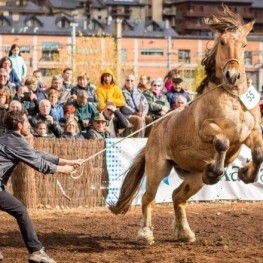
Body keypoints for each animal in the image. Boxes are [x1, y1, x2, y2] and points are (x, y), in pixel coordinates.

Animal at [109, 6, 263, 245]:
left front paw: (246, 173)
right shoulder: (207, 129)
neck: (232, 98)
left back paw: (185, 232)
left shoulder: (250, 133)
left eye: (245, 45)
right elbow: (222, 142)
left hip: (193, 178)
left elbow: (258, 154)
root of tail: (155, 130)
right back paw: (145, 234)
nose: (233, 75)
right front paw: (215, 171)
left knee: (177, 197)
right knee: (148, 198)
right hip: (157, 169)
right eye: (222, 42)